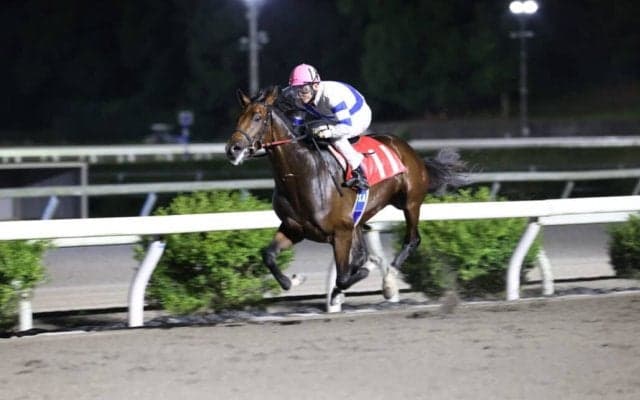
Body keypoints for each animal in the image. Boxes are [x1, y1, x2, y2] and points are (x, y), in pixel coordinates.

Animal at [225, 86, 466, 306]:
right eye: (239, 117)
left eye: (257, 117)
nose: (233, 149)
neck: (303, 174)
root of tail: (409, 150)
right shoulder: (294, 228)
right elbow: (269, 256)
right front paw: (294, 279)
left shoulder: (340, 233)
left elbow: (343, 277)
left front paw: (365, 275)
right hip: (360, 218)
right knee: (363, 252)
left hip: (410, 202)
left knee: (412, 240)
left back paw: (389, 279)